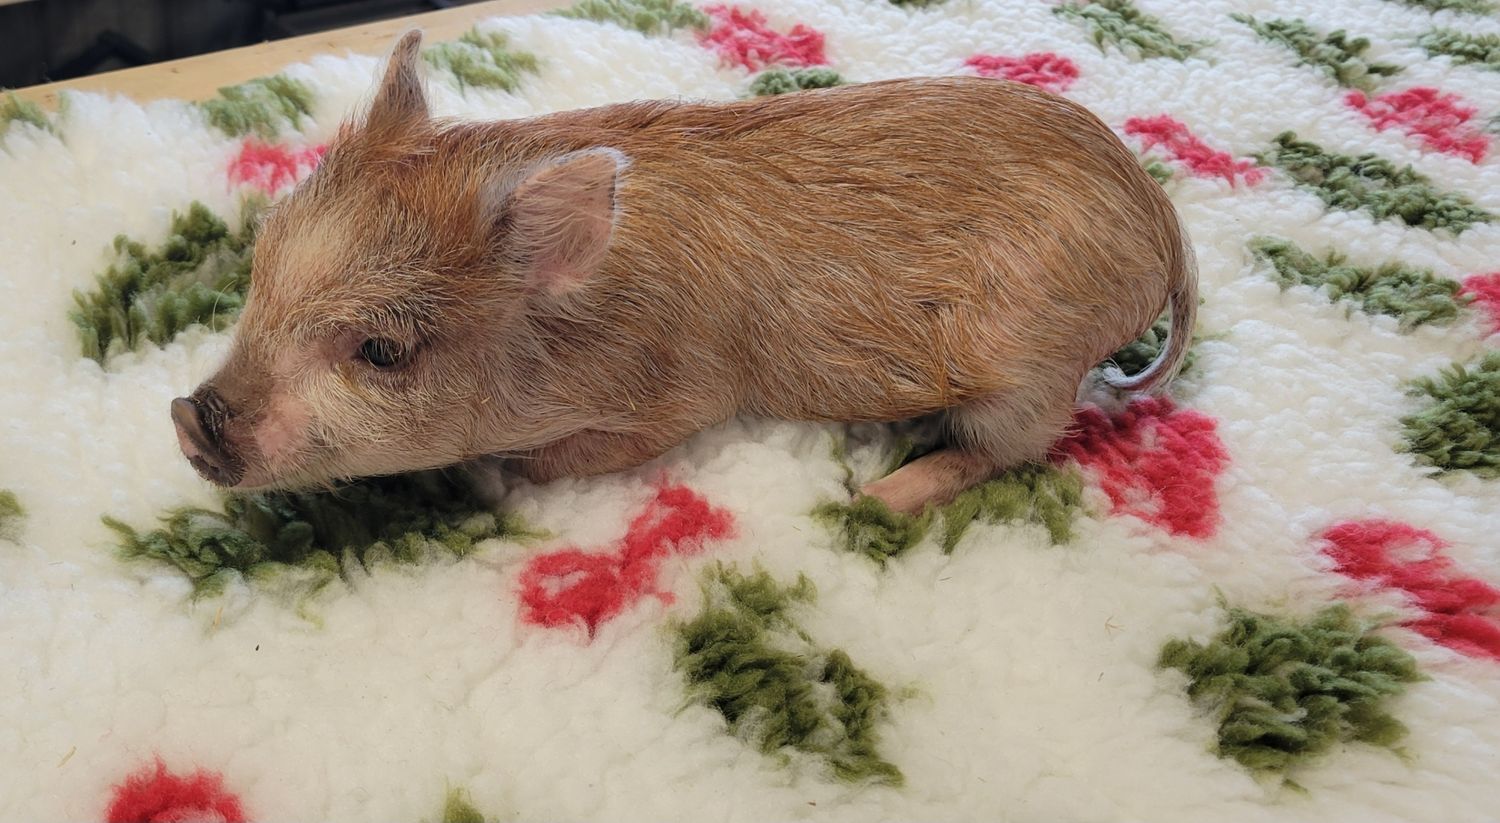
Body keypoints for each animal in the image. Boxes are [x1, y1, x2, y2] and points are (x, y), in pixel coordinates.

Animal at [170, 29, 1196, 515]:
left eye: (383, 350)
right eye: (262, 262)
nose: (190, 415)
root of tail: (1162, 228)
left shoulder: (685, 398)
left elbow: (570, 456)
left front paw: (496, 480)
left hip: (1033, 365)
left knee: (1014, 449)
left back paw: (873, 500)